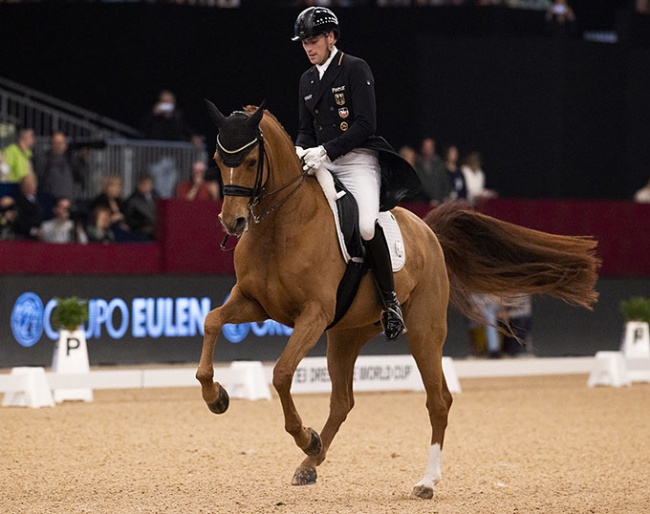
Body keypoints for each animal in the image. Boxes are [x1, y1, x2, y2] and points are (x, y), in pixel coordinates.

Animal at [196, 102, 596, 498]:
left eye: (251, 161)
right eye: (217, 158)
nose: (232, 222)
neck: (281, 226)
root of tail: (428, 231)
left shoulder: (314, 314)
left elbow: (280, 374)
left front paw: (303, 435)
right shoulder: (254, 303)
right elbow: (212, 322)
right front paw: (217, 398)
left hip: (423, 331)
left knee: (438, 400)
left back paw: (424, 481)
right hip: (346, 334)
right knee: (343, 401)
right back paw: (310, 463)